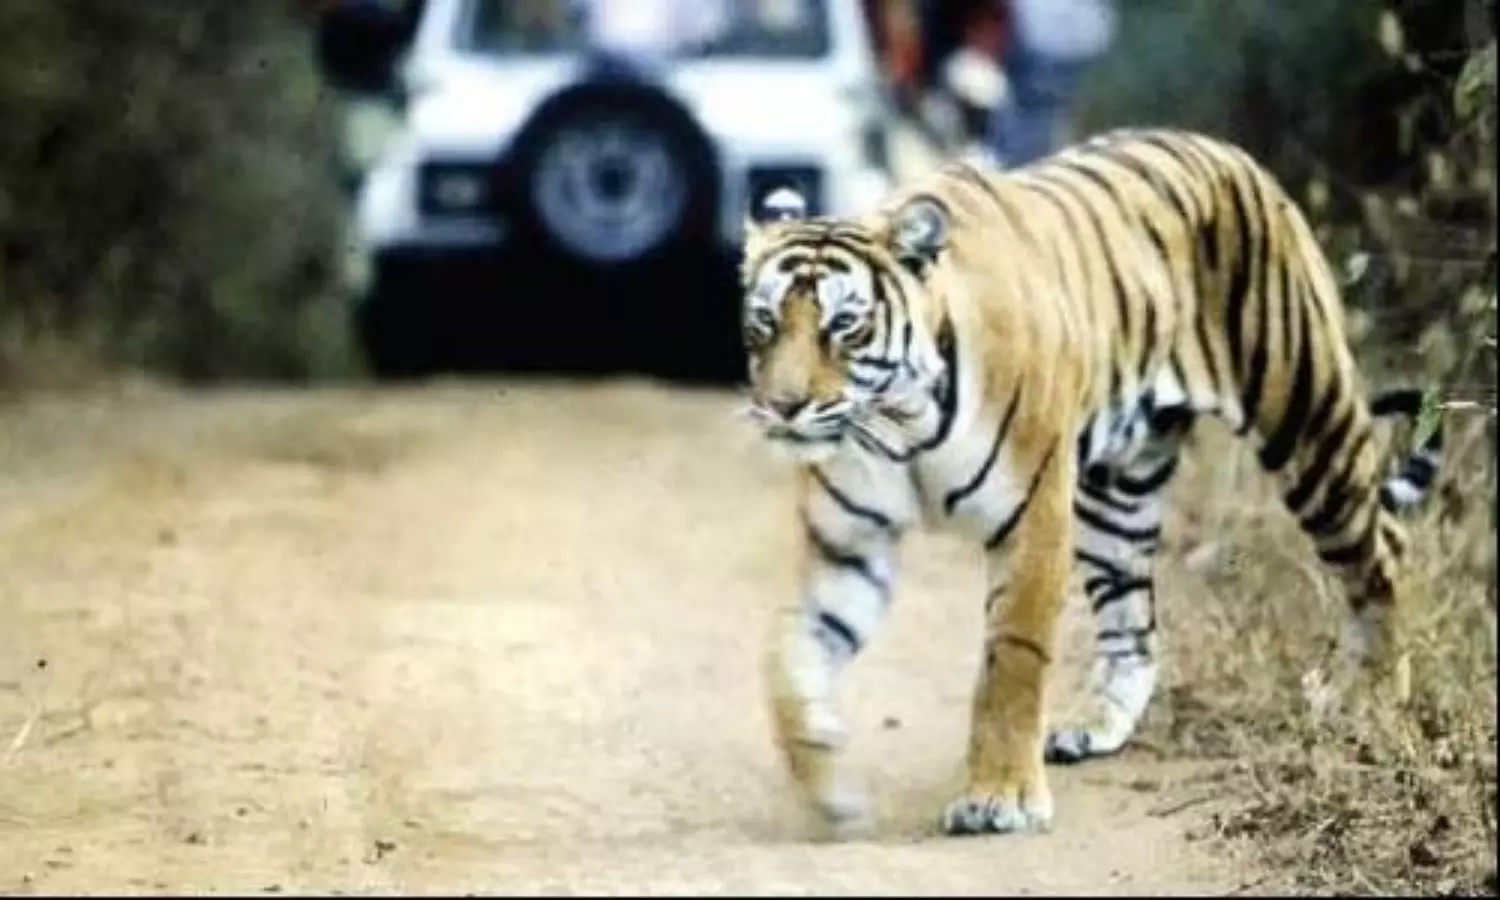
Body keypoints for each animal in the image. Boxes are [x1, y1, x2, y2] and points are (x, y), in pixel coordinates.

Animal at [736, 127, 1445, 836]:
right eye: (765, 322)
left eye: (843, 326)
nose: (783, 407)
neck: (900, 421)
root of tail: (1229, 152)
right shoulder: (848, 547)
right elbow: (789, 659)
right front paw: (829, 786)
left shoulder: (1032, 520)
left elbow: (1011, 661)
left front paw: (1000, 798)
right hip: (1116, 496)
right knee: (1134, 623)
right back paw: (1095, 726)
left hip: (1307, 421)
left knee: (1382, 551)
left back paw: (1372, 697)